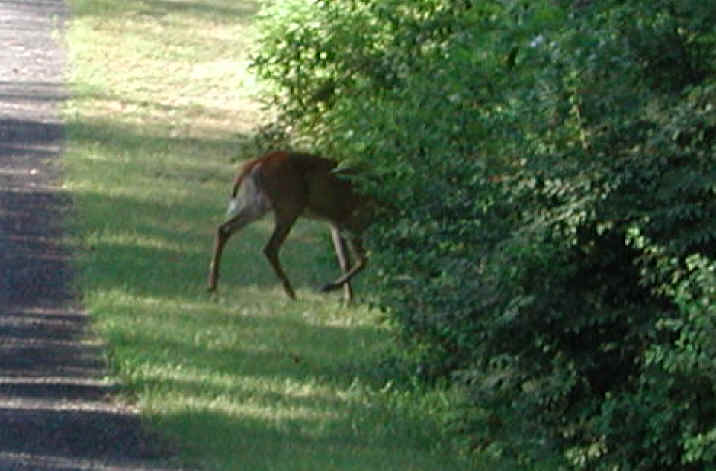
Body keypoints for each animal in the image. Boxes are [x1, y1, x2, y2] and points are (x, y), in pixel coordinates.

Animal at [207, 151, 370, 302]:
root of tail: (258, 161)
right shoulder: (353, 221)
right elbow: (362, 260)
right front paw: (330, 288)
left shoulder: (336, 223)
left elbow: (344, 261)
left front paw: (348, 298)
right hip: (289, 206)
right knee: (270, 248)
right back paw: (291, 293)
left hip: (259, 203)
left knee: (224, 229)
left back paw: (212, 286)